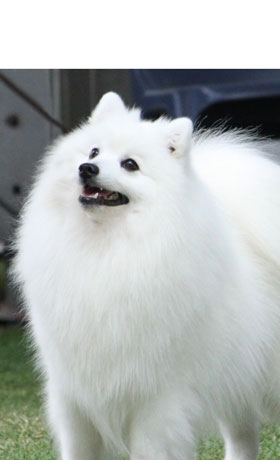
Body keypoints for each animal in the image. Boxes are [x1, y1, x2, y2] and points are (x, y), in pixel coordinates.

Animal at [13, 91, 280, 458]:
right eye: (94, 152)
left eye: (130, 164)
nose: (87, 168)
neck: (104, 249)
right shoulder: (74, 395)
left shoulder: (157, 398)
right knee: (243, 436)